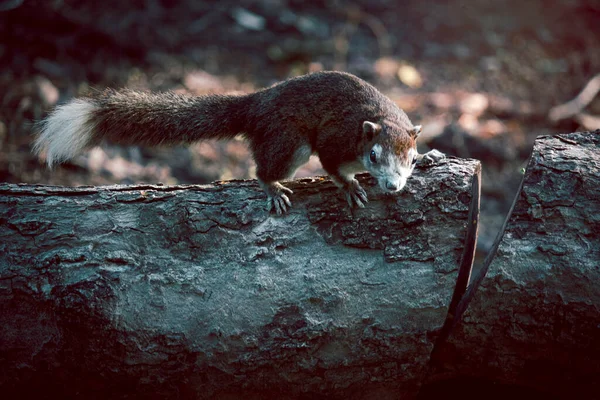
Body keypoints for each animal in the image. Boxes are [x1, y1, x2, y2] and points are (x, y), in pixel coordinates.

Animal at [34, 71, 446, 212]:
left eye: (409, 160)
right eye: (373, 156)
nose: (392, 186)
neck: (381, 118)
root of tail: (256, 105)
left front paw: (431, 155)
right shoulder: (337, 140)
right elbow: (331, 164)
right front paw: (349, 187)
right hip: (289, 140)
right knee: (263, 168)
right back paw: (273, 188)